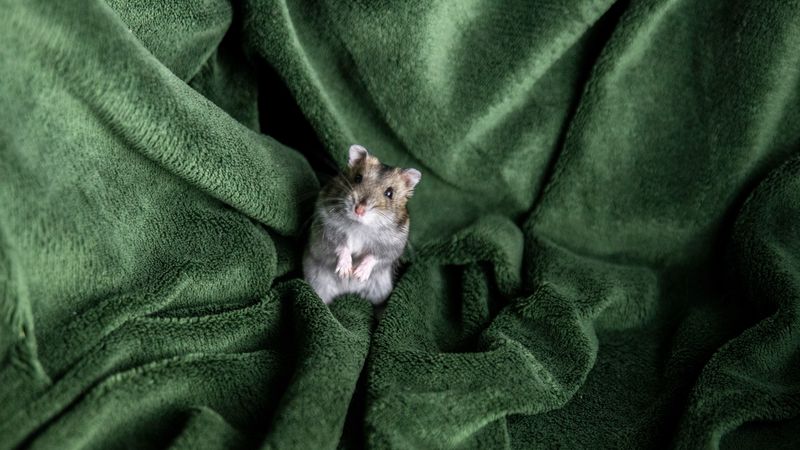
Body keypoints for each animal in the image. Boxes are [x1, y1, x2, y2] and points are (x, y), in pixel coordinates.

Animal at [303, 144, 421, 305]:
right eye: (358, 178)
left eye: (389, 193)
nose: (359, 210)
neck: (359, 226)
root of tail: (347, 291)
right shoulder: (326, 230)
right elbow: (341, 246)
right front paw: (345, 271)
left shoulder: (393, 246)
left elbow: (375, 256)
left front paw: (358, 274)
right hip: (318, 283)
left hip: (380, 290)